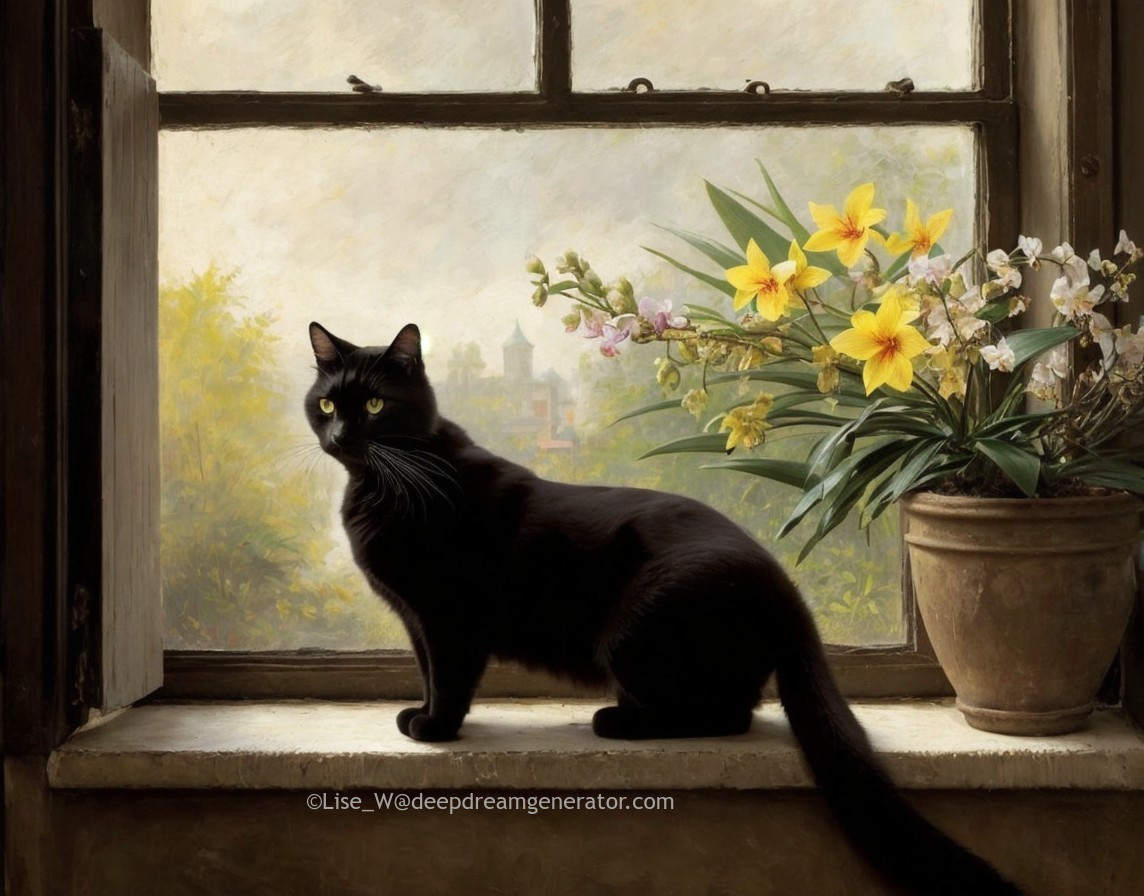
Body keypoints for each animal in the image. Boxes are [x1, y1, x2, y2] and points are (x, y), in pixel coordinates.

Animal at [302, 322, 1020, 896]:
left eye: (375, 402)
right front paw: (419, 715)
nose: (340, 432)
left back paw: (616, 721)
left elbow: (448, 677)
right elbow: (426, 670)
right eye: (328, 401)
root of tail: (786, 587)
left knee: (726, 715)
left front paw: (435, 729)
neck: (380, 482)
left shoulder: (447, 616)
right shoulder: (415, 619)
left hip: (634, 630)